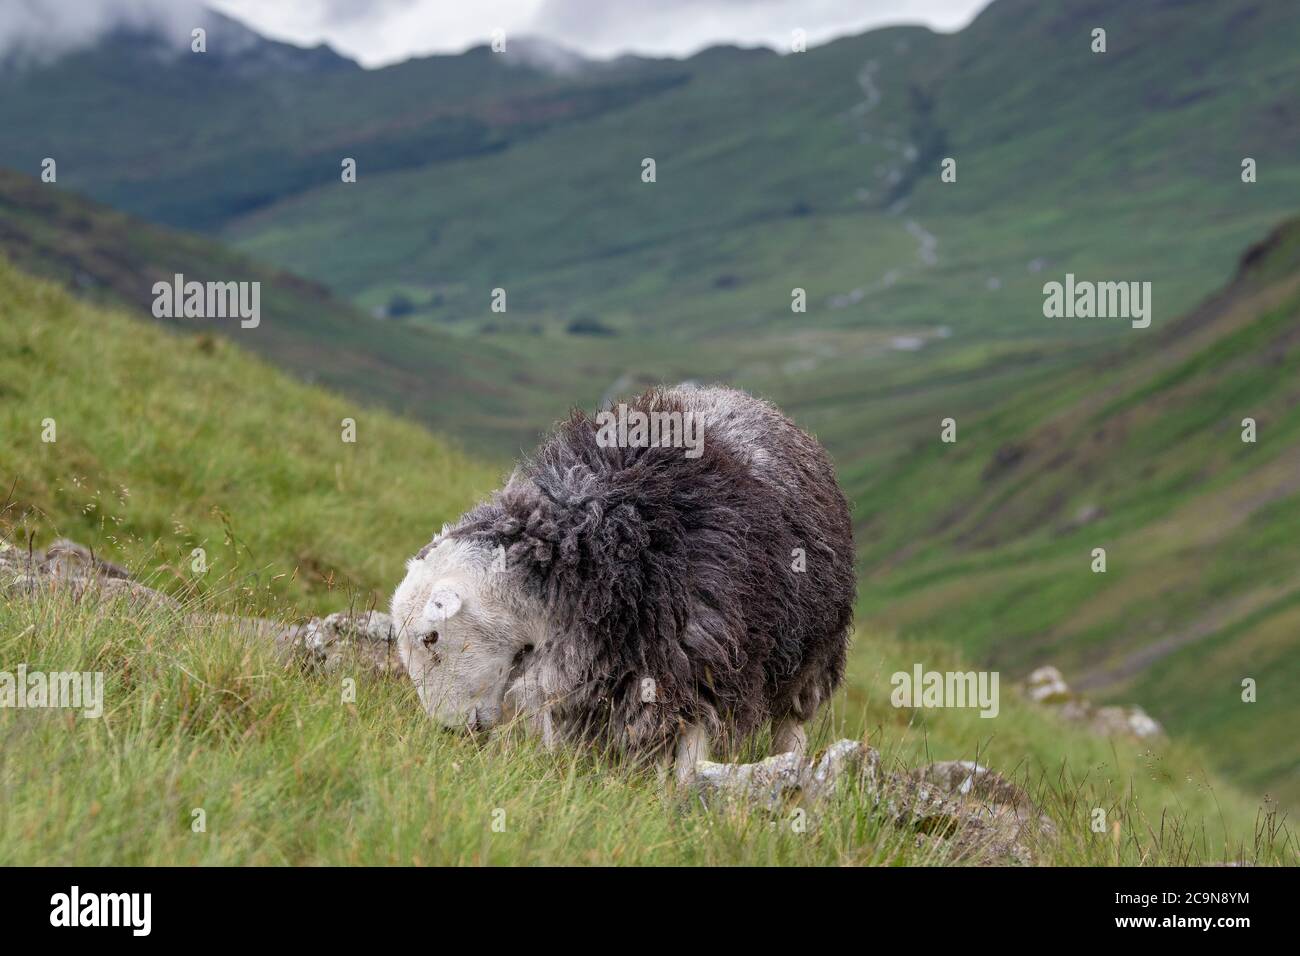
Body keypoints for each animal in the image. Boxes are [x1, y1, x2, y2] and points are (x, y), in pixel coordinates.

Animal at [390, 385, 857, 780]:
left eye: (431, 637)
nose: (451, 731)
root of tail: (743, 397)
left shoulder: (695, 656)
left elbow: (691, 747)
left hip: (812, 656)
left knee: (791, 722)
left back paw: (790, 761)